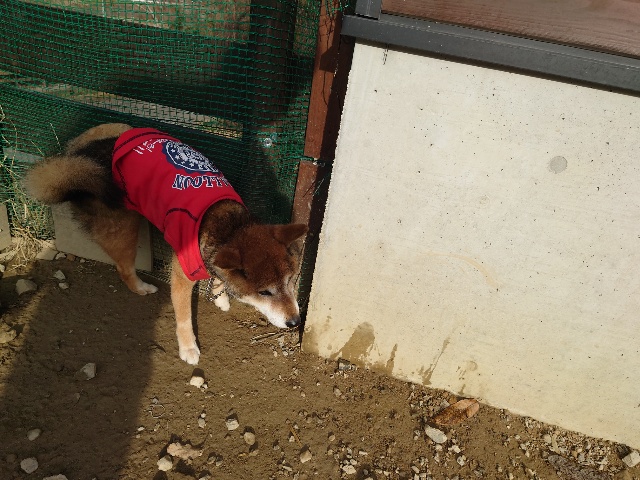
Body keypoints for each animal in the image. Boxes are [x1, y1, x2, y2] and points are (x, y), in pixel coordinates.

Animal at [24, 123, 307, 365]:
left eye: (291, 281)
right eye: (264, 292)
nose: (295, 321)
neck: (226, 222)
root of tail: (80, 157)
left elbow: (218, 277)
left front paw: (221, 296)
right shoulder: (182, 275)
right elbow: (183, 318)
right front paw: (188, 348)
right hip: (125, 226)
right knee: (123, 268)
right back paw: (140, 287)